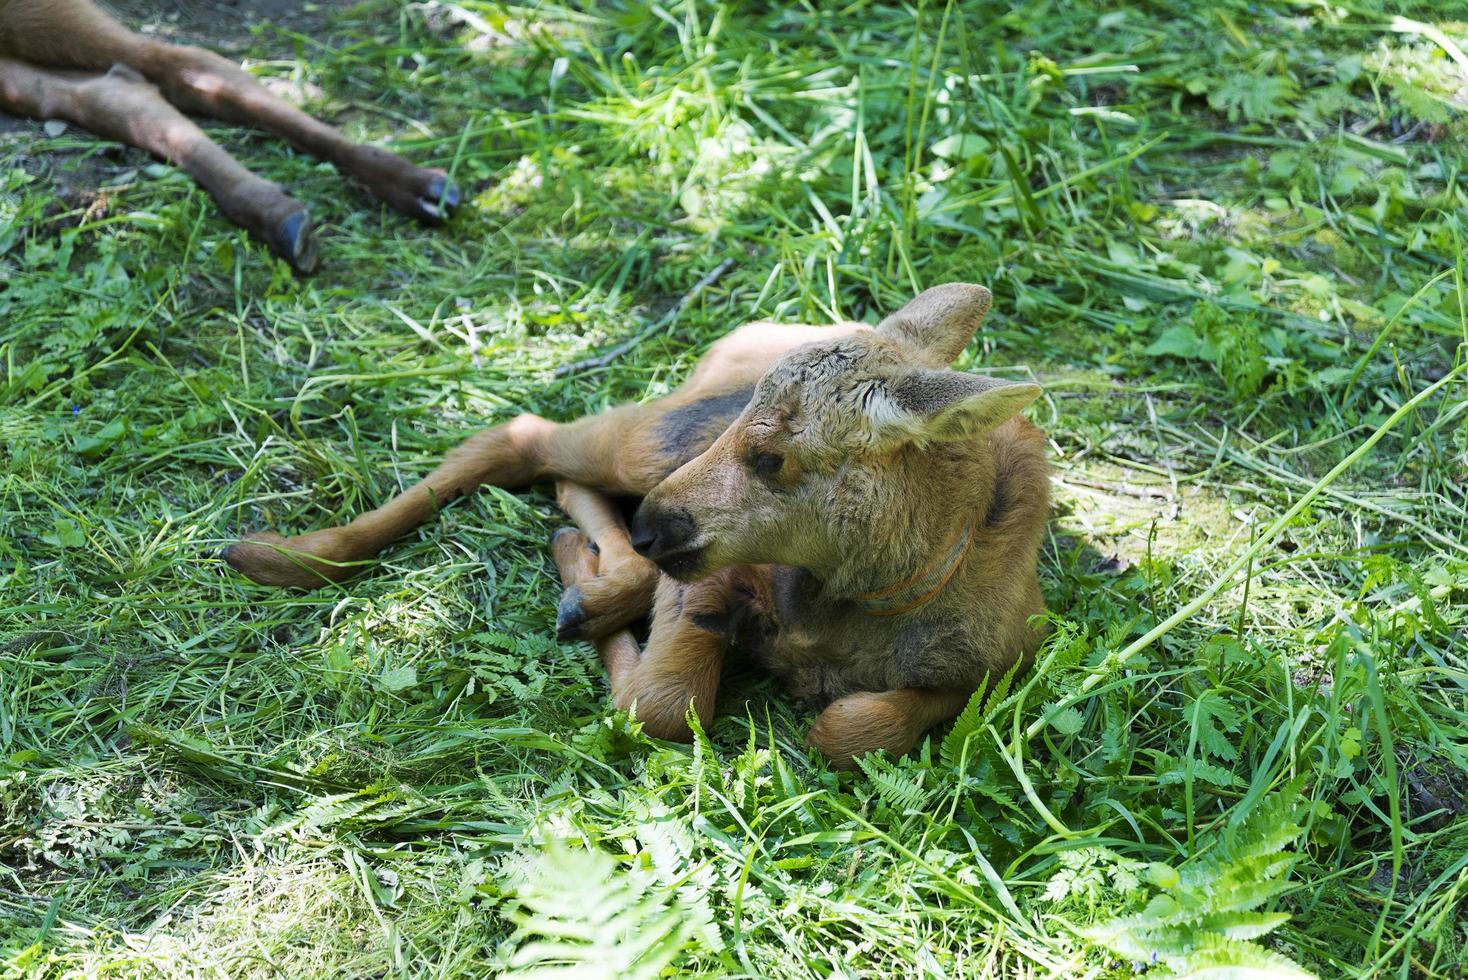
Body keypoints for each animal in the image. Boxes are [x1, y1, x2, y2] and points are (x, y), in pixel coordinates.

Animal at [223, 283, 1051, 762]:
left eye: (770, 457)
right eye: (748, 427)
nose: (657, 528)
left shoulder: (1001, 665)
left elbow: (852, 727)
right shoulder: (709, 577)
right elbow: (661, 707)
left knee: (564, 483)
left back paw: (588, 586)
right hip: (654, 436)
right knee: (525, 435)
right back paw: (287, 556)